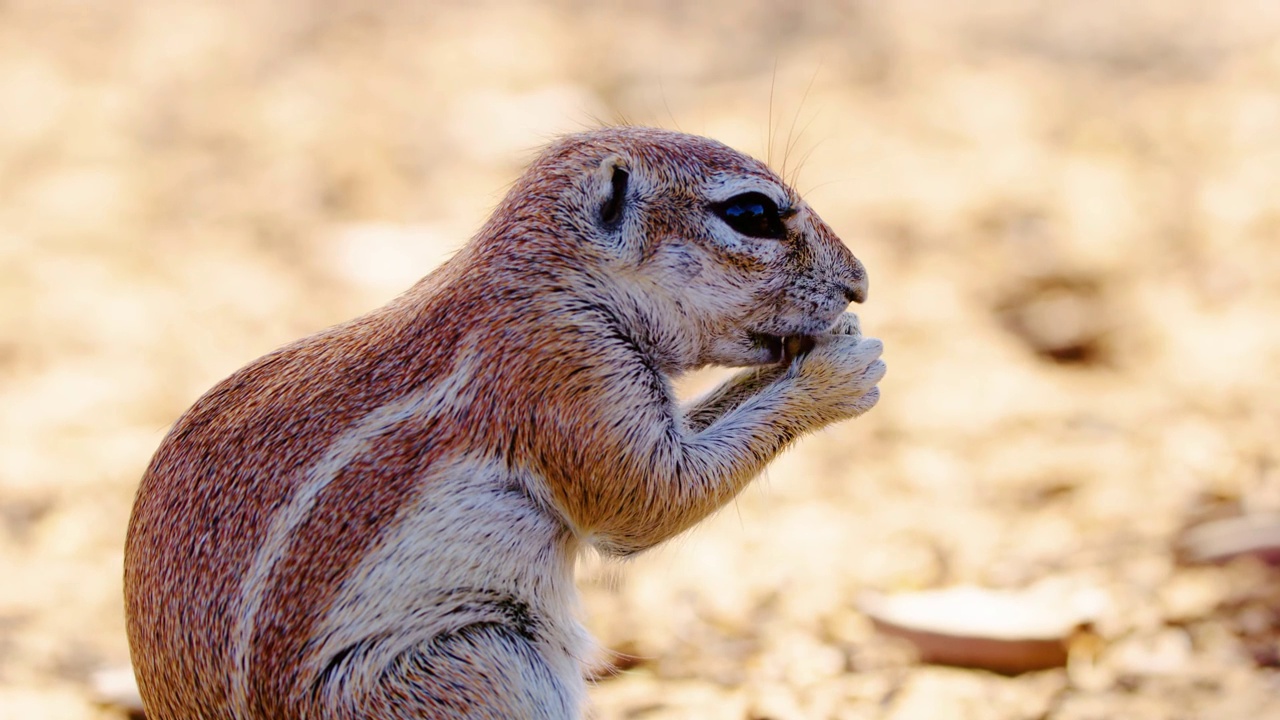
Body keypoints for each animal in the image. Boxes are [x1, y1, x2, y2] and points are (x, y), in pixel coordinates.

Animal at [124, 126, 885, 712]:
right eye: (752, 214)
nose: (861, 284)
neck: (553, 281)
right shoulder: (565, 370)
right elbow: (647, 500)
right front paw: (840, 371)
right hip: (483, 663)